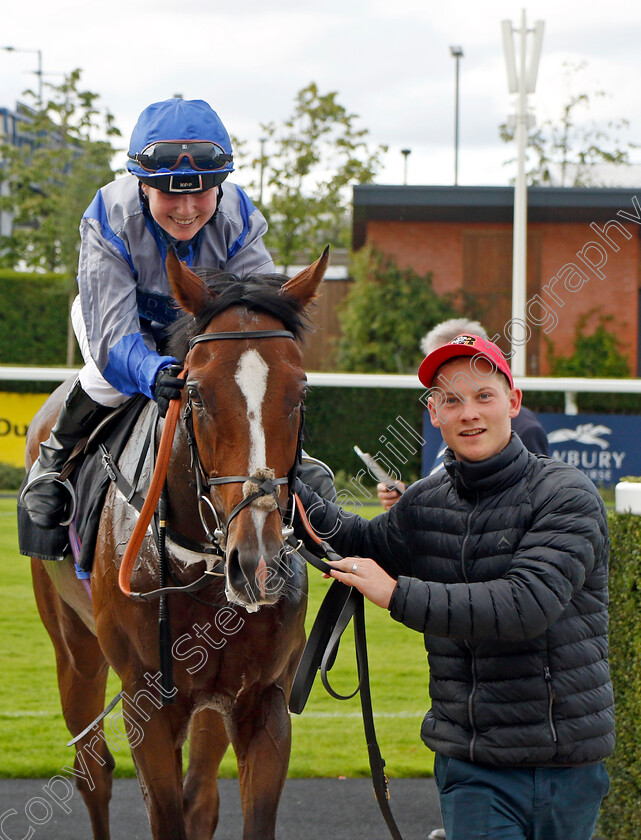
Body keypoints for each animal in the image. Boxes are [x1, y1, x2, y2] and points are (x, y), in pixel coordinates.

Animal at [26, 251, 324, 840]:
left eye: (300, 391)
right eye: (197, 393)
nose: (257, 563)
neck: (201, 566)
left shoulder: (262, 700)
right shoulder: (147, 702)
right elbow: (163, 815)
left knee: (200, 797)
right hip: (75, 647)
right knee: (93, 770)